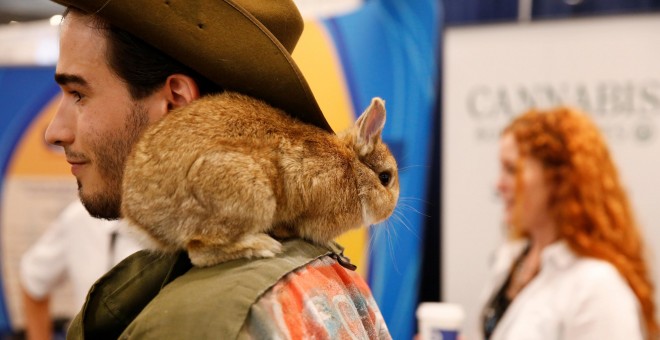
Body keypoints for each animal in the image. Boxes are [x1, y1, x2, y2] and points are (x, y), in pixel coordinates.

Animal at [121, 91, 400, 266]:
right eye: (385, 177)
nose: (390, 210)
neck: (353, 169)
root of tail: (139, 217)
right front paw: (333, 246)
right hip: (246, 193)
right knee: (199, 251)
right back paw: (263, 246)